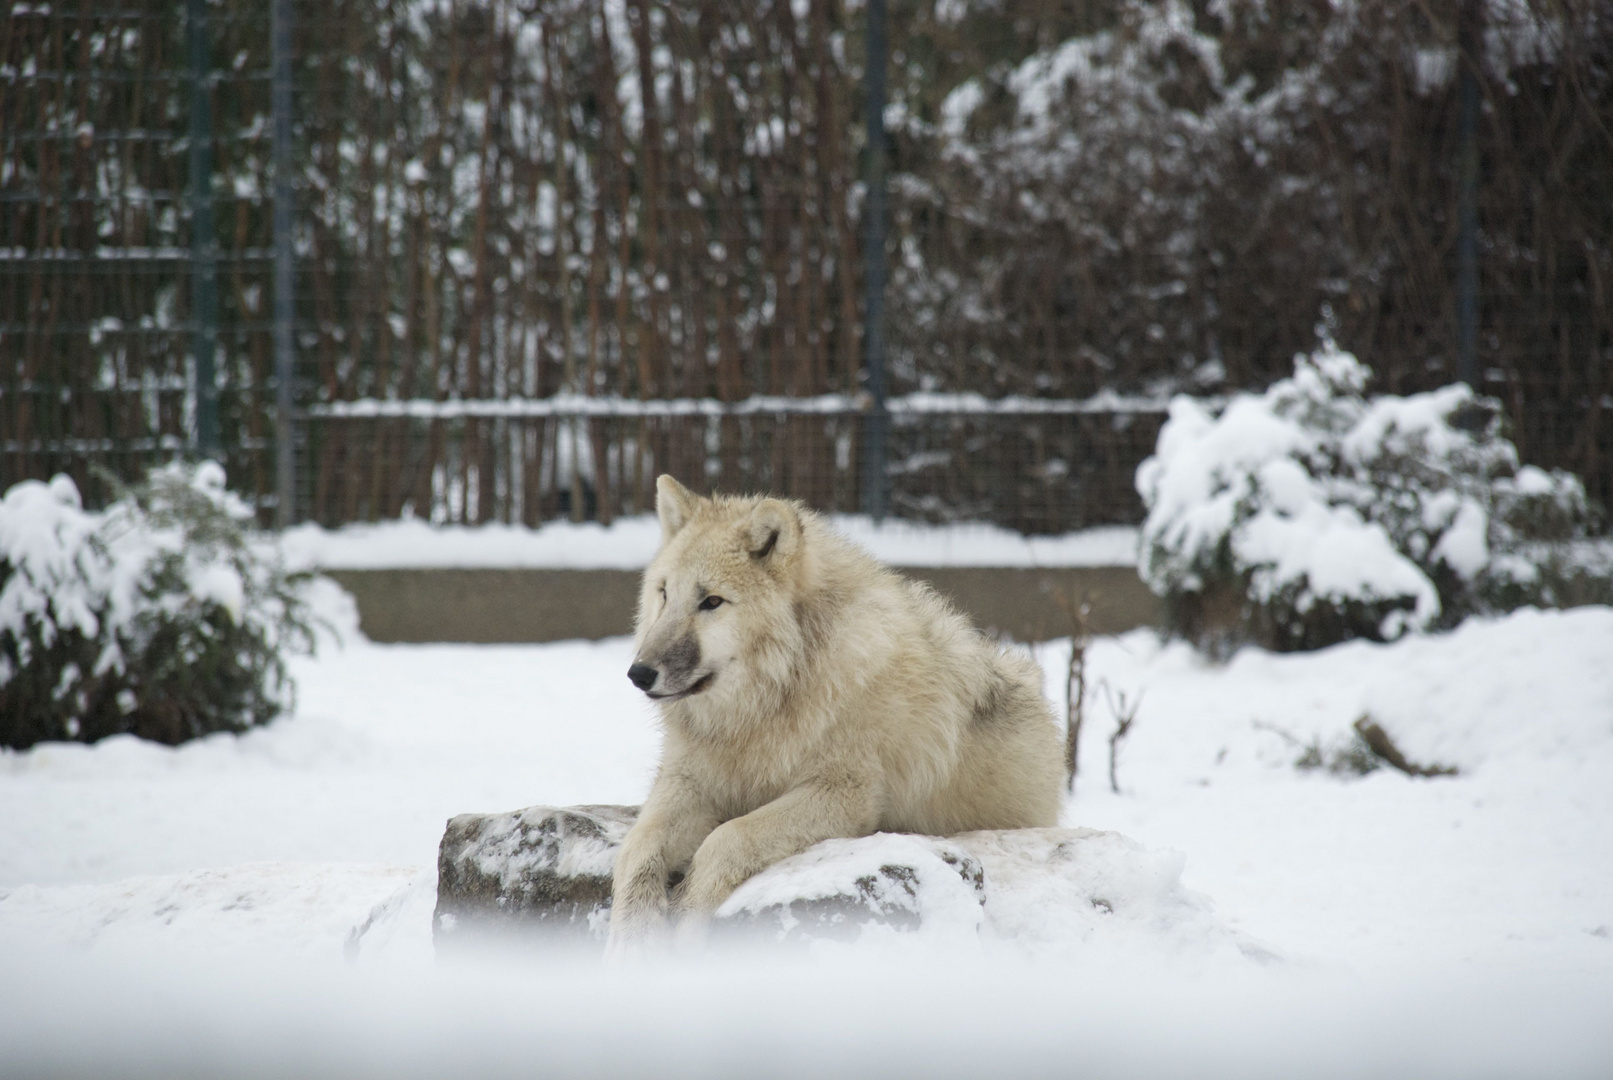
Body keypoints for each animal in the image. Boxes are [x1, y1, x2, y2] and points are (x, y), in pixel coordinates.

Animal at [603, 473, 1058, 954]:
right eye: (664, 593)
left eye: (711, 601)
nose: (639, 673)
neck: (762, 709)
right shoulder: (688, 780)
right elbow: (637, 849)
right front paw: (630, 947)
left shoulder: (845, 796)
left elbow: (727, 838)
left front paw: (686, 930)